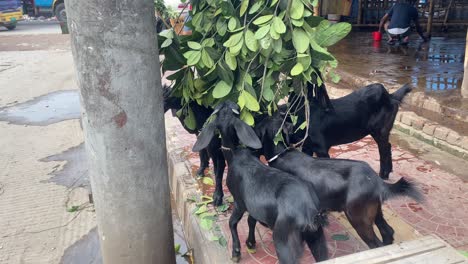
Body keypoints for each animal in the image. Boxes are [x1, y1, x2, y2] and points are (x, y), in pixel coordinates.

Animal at [192, 101, 328, 264]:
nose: (229, 101)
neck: (235, 155)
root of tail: (307, 215)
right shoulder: (254, 206)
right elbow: (251, 221)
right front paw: (250, 242)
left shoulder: (239, 202)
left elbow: (232, 223)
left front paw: (236, 252)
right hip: (317, 237)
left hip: (284, 242)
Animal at [256, 114, 424, 249]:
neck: (282, 154)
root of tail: (377, 181)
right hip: (375, 210)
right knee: (387, 232)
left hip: (359, 217)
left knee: (375, 243)